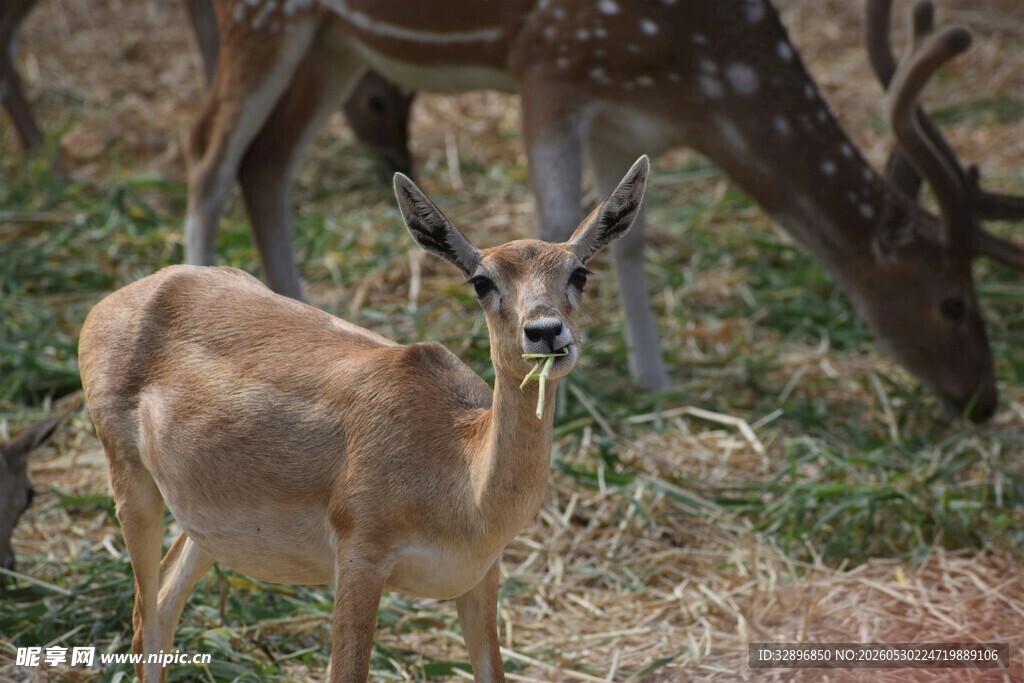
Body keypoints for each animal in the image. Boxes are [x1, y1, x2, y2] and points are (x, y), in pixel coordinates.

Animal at [79, 151, 650, 681]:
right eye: (482, 282)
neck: (462, 477)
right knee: (143, 619)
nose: (545, 332)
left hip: (204, 524)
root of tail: (120, 299)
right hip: (133, 489)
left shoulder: (479, 578)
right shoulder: (359, 562)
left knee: (165, 603)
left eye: (579, 272)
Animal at [183, 0, 1024, 422]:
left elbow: (626, 236)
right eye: (953, 301)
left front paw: (654, 378)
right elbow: (557, 211)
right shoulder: (550, 60)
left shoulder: (628, 117)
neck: (696, 78)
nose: (984, 399)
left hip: (337, 39)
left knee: (267, 162)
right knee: (208, 151)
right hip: (264, 17)